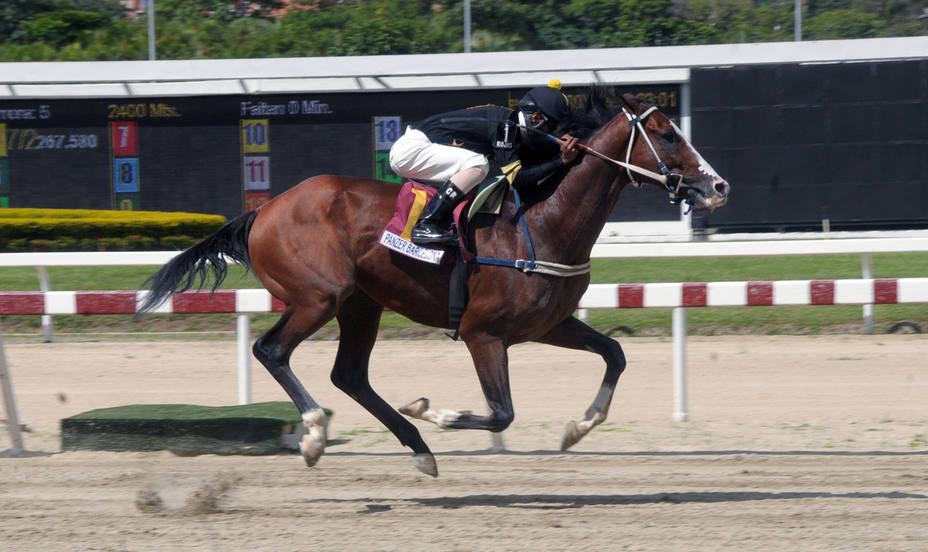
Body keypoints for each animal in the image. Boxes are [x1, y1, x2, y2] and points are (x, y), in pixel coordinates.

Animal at [140, 89, 732, 474]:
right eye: (665, 134)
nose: (718, 186)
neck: (541, 223)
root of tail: (263, 211)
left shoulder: (548, 325)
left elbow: (615, 354)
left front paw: (576, 428)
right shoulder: (483, 334)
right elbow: (502, 412)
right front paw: (440, 412)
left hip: (361, 304)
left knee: (349, 375)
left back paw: (416, 445)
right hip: (318, 297)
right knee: (272, 351)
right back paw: (314, 434)